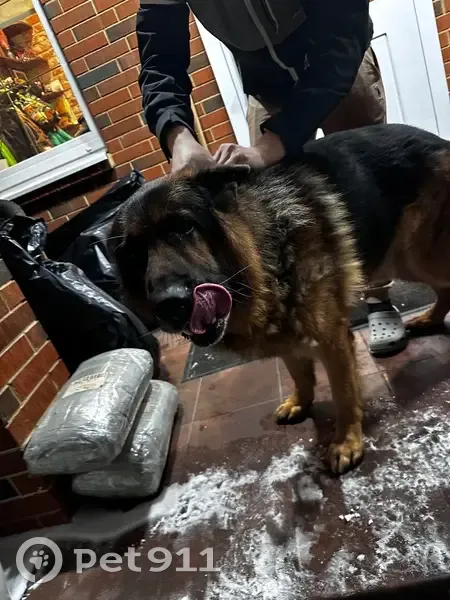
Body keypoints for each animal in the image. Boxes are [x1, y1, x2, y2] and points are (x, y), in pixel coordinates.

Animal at [109, 123, 450, 474]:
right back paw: (430, 319)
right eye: (132, 254)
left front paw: (347, 441)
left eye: (184, 227)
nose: (170, 305)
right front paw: (301, 401)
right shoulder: (286, 335)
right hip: (405, 257)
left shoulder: (333, 340)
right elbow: (299, 373)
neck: (264, 249)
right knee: (445, 289)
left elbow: (343, 393)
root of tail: (438, 140)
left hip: (416, 254)